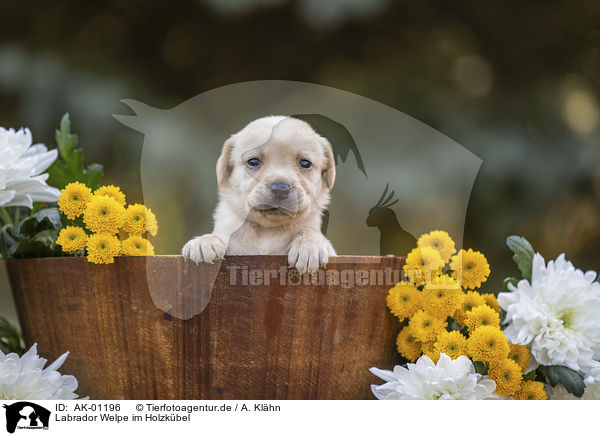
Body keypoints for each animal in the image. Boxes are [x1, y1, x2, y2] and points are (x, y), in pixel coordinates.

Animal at [180, 116, 336, 272]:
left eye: (305, 163)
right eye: (253, 161)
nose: (280, 189)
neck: (267, 230)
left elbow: (310, 231)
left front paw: (309, 246)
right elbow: (220, 235)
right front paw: (204, 241)